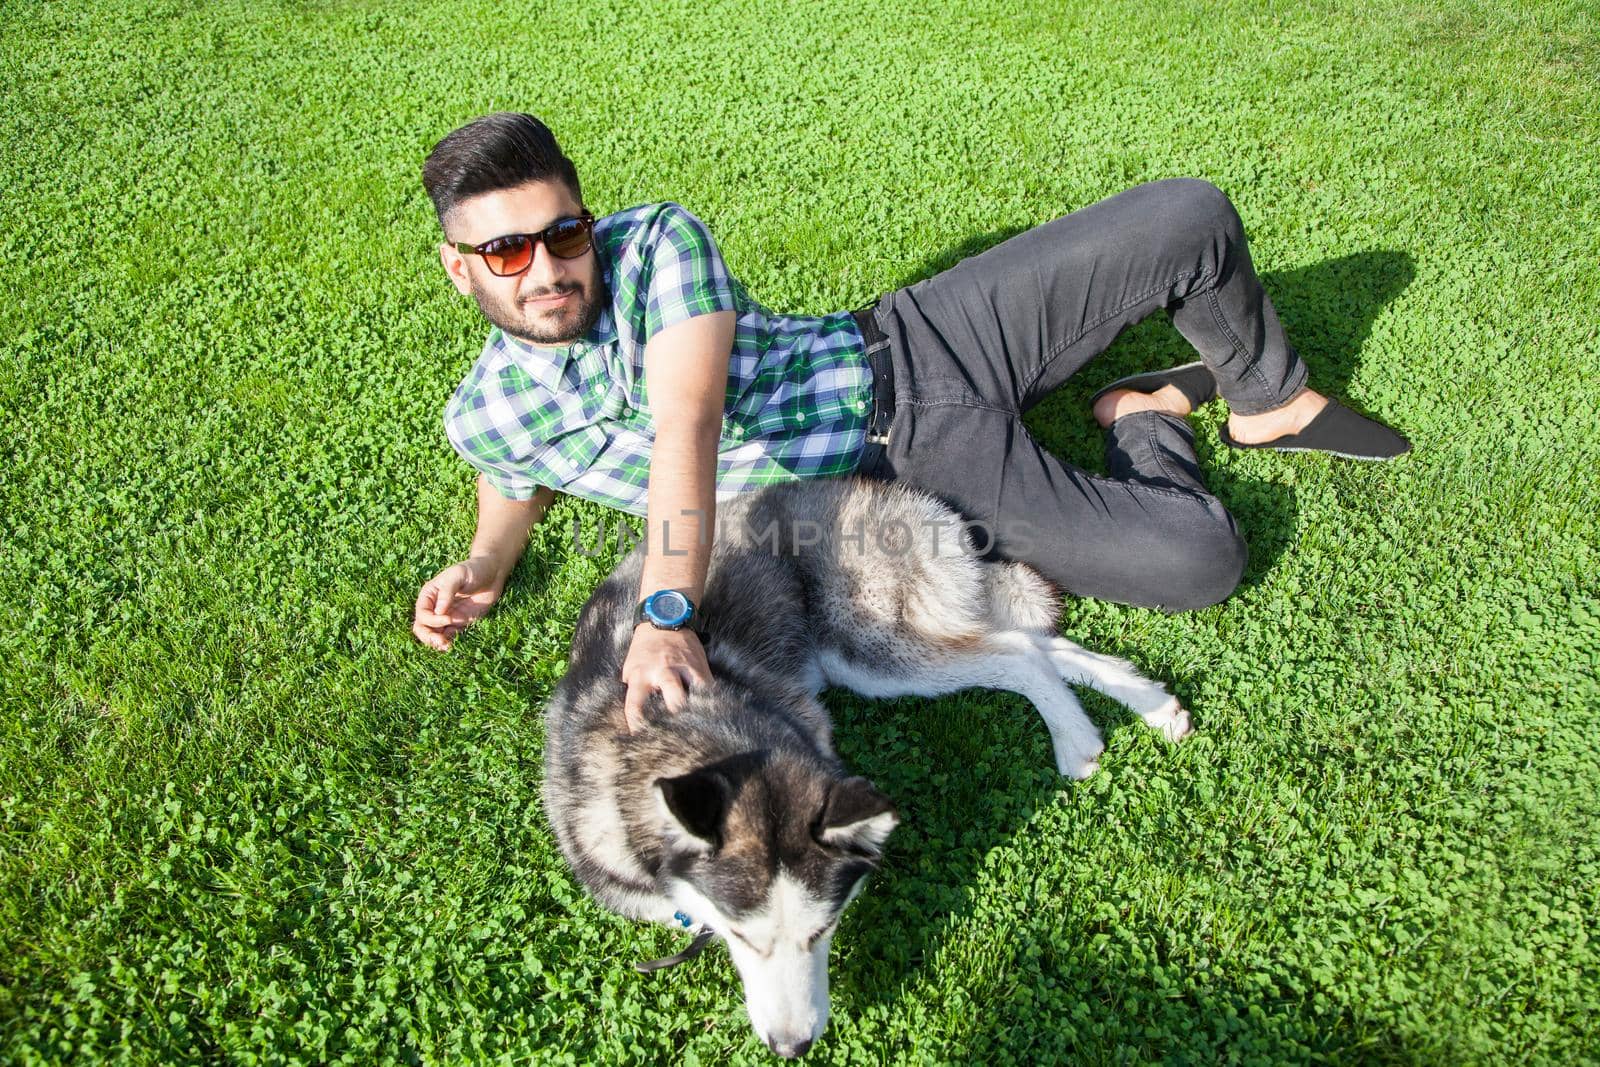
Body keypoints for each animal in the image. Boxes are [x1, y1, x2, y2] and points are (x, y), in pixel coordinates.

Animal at [544, 476, 1196, 1062]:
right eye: (742, 938)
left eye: (822, 931)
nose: (792, 1047)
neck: (673, 726)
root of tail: (902, 495)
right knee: (1042, 645)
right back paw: (1152, 704)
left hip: (870, 652)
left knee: (1020, 654)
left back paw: (1075, 739)